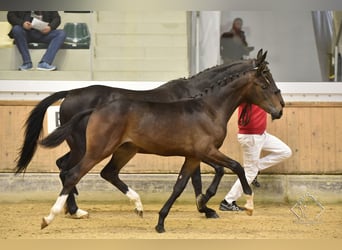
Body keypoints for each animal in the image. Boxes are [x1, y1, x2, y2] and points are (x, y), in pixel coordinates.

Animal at [32, 57, 284, 233]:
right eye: (265, 83)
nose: (280, 108)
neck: (208, 108)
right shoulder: (205, 151)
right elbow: (232, 168)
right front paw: (241, 206)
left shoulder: (194, 155)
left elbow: (183, 184)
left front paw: (173, 217)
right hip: (93, 149)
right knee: (71, 173)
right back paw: (55, 216)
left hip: (123, 150)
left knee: (102, 172)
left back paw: (134, 206)